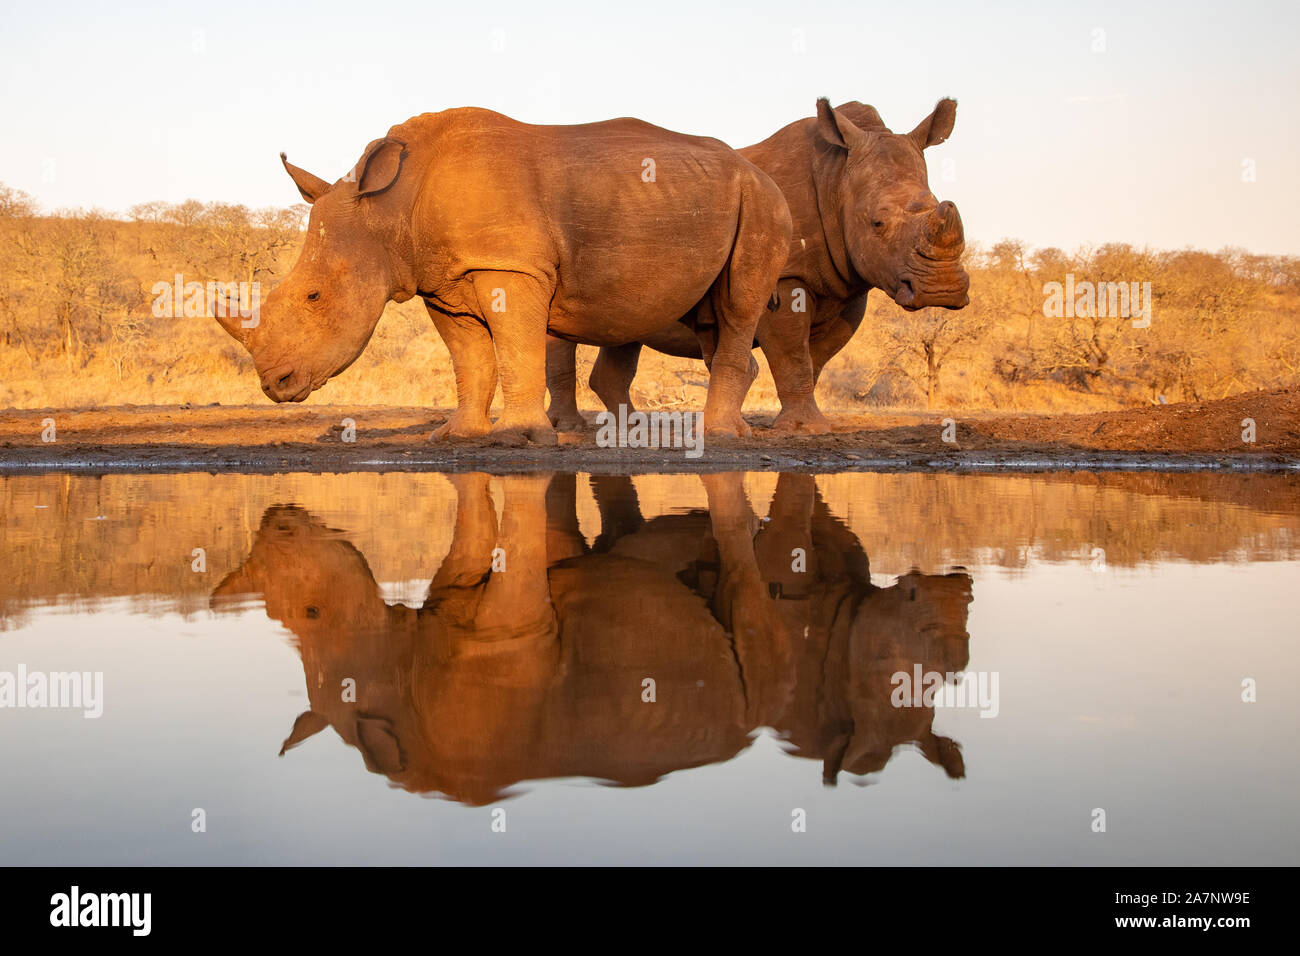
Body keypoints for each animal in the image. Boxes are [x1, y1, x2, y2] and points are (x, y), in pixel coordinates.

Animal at [210, 106, 790, 442]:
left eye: (313, 296)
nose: (275, 386)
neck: (390, 208)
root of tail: (756, 169)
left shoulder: (509, 266)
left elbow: (515, 350)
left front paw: (522, 438)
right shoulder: (442, 281)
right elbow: (470, 360)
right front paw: (457, 436)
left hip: (764, 202)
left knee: (739, 303)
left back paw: (721, 438)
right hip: (707, 199)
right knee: (710, 316)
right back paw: (730, 430)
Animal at [543, 95, 972, 431]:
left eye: (937, 206)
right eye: (877, 223)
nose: (943, 291)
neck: (837, 178)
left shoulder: (849, 284)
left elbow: (814, 358)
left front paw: (802, 422)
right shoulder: (787, 276)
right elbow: (793, 353)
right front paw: (805, 428)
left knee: (624, 330)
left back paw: (630, 427)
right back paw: (571, 428)